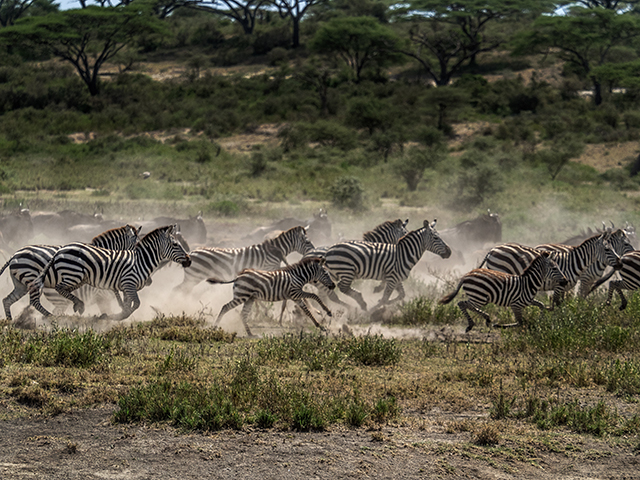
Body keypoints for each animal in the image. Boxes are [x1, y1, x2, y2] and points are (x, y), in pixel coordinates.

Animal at [0, 224, 141, 320]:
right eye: (136, 246)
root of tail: (14, 255)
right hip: (31, 277)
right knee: (35, 302)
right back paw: (51, 318)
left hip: (21, 283)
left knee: (8, 300)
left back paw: (10, 322)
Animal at [29, 226, 190, 322]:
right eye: (175, 244)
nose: (189, 260)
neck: (141, 261)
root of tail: (59, 251)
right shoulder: (128, 284)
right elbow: (135, 305)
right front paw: (114, 316)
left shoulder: (125, 288)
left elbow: (127, 305)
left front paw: (114, 315)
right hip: (73, 275)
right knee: (59, 288)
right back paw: (77, 305)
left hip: (78, 279)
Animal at [175, 226, 316, 292]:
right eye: (307, 242)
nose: (313, 252)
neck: (274, 250)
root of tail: (191, 252)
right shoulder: (270, 267)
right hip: (194, 277)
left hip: (193, 277)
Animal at [209, 258, 338, 338]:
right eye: (326, 273)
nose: (333, 285)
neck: (298, 277)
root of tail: (238, 276)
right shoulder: (295, 293)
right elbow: (314, 296)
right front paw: (328, 311)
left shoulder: (295, 297)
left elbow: (306, 311)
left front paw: (320, 326)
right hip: (242, 296)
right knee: (225, 307)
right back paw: (214, 327)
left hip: (249, 298)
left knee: (243, 314)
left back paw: (251, 334)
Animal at [480, 234, 620, 310]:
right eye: (607, 249)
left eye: (613, 248)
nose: (620, 262)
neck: (572, 262)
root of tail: (492, 250)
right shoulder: (559, 286)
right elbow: (557, 304)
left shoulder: (564, 286)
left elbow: (562, 304)